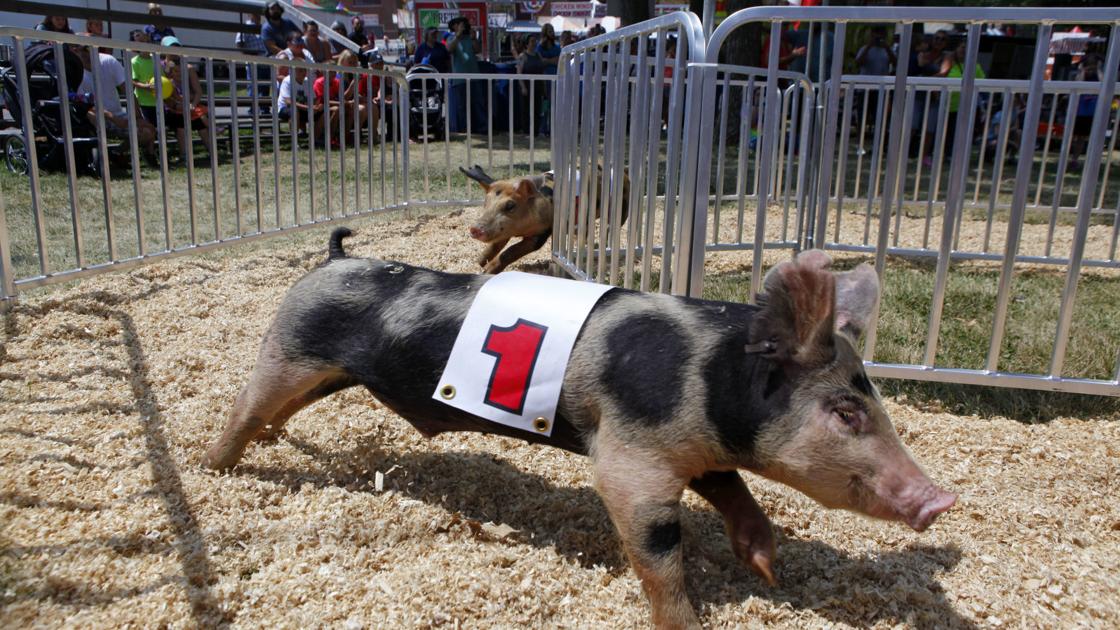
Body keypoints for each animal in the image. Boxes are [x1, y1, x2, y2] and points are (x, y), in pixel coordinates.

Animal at [204, 228, 956, 629]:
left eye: (872, 400)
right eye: (845, 411)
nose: (941, 499)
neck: (710, 378)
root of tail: (330, 260)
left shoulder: (702, 452)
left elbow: (738, 496)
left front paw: (768, 569)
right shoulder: (630, 455)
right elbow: (657, 548)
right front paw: (689, 619)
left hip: (328, 374)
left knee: (278, 413)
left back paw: (266, 446)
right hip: (287, 348)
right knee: (244, 405)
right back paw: (218, 467)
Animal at [461, 164, 629, 274]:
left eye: (510, 205)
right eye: (485, 202)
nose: (475, 228)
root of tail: (626, 176)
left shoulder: (541, 233)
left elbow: (509, 252)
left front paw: (486, 272)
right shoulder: (504, 230)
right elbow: (493, 247)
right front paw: (479, 264)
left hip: (621, 209)